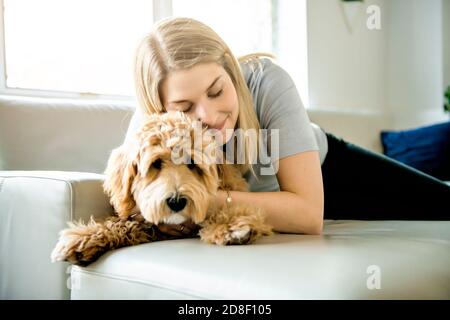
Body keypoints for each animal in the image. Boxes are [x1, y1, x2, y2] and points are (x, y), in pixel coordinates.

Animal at [51, 110, 272, 264]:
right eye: (156, 164)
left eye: (192, 163)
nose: (176, 201)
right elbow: (122, 223)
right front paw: (84, 239)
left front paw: (232, 227)